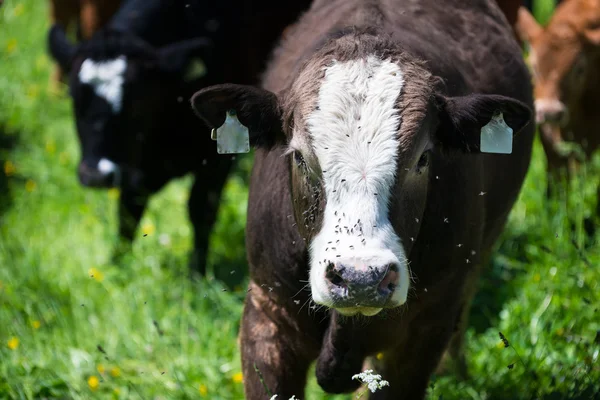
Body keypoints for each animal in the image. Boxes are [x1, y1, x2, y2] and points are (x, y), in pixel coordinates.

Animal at [48, 0, 310, 276]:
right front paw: (117, 266)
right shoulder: (135, 165)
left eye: (136, 105)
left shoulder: (217, 157)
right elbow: (128, 211)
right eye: (75, 101)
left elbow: (200, 209)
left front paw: (197, 273)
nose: (97, 175)